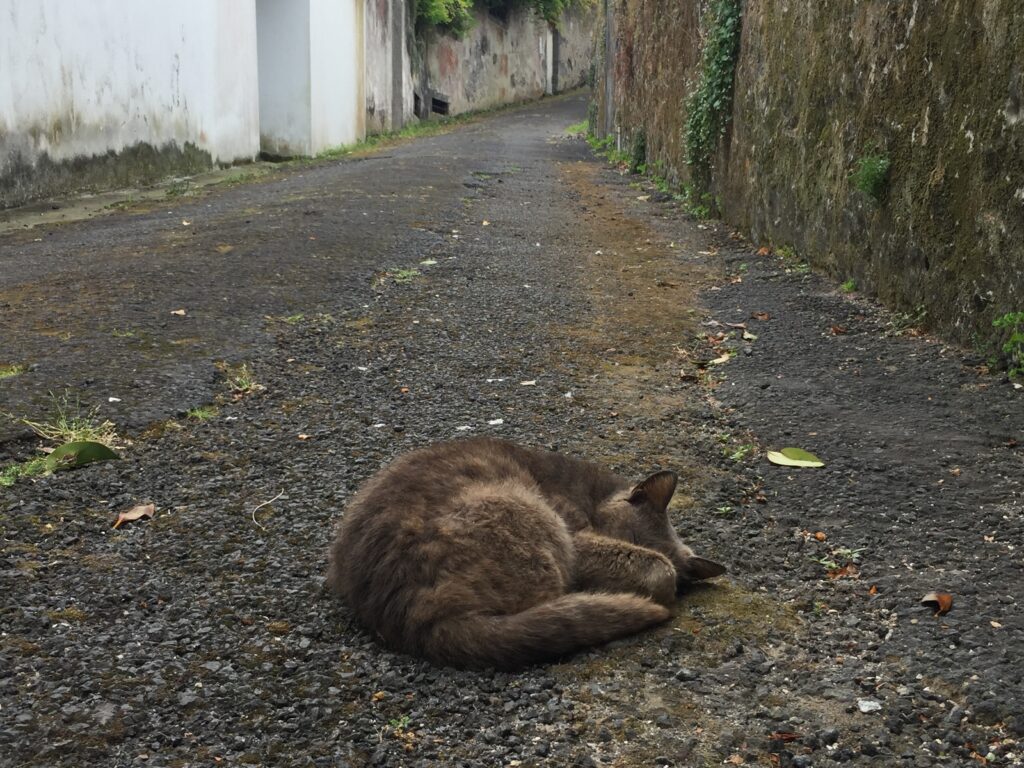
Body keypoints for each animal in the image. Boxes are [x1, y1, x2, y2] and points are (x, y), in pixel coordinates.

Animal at [323, 442, 724, 671]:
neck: (590, 496)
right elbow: (661, 568)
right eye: (632, 537)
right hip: (525, 510)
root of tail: (412, 616)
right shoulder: (576, 538)